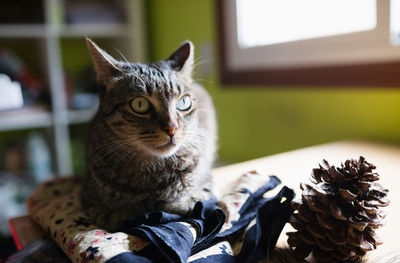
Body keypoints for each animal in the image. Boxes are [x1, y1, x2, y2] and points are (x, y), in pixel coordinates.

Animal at [81, 38, 217, 232]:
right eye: (140, 104)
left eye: (183, 102)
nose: (172, 128)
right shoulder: (88, 197)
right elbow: (110, 213)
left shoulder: (205, 186)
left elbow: (190, 202)